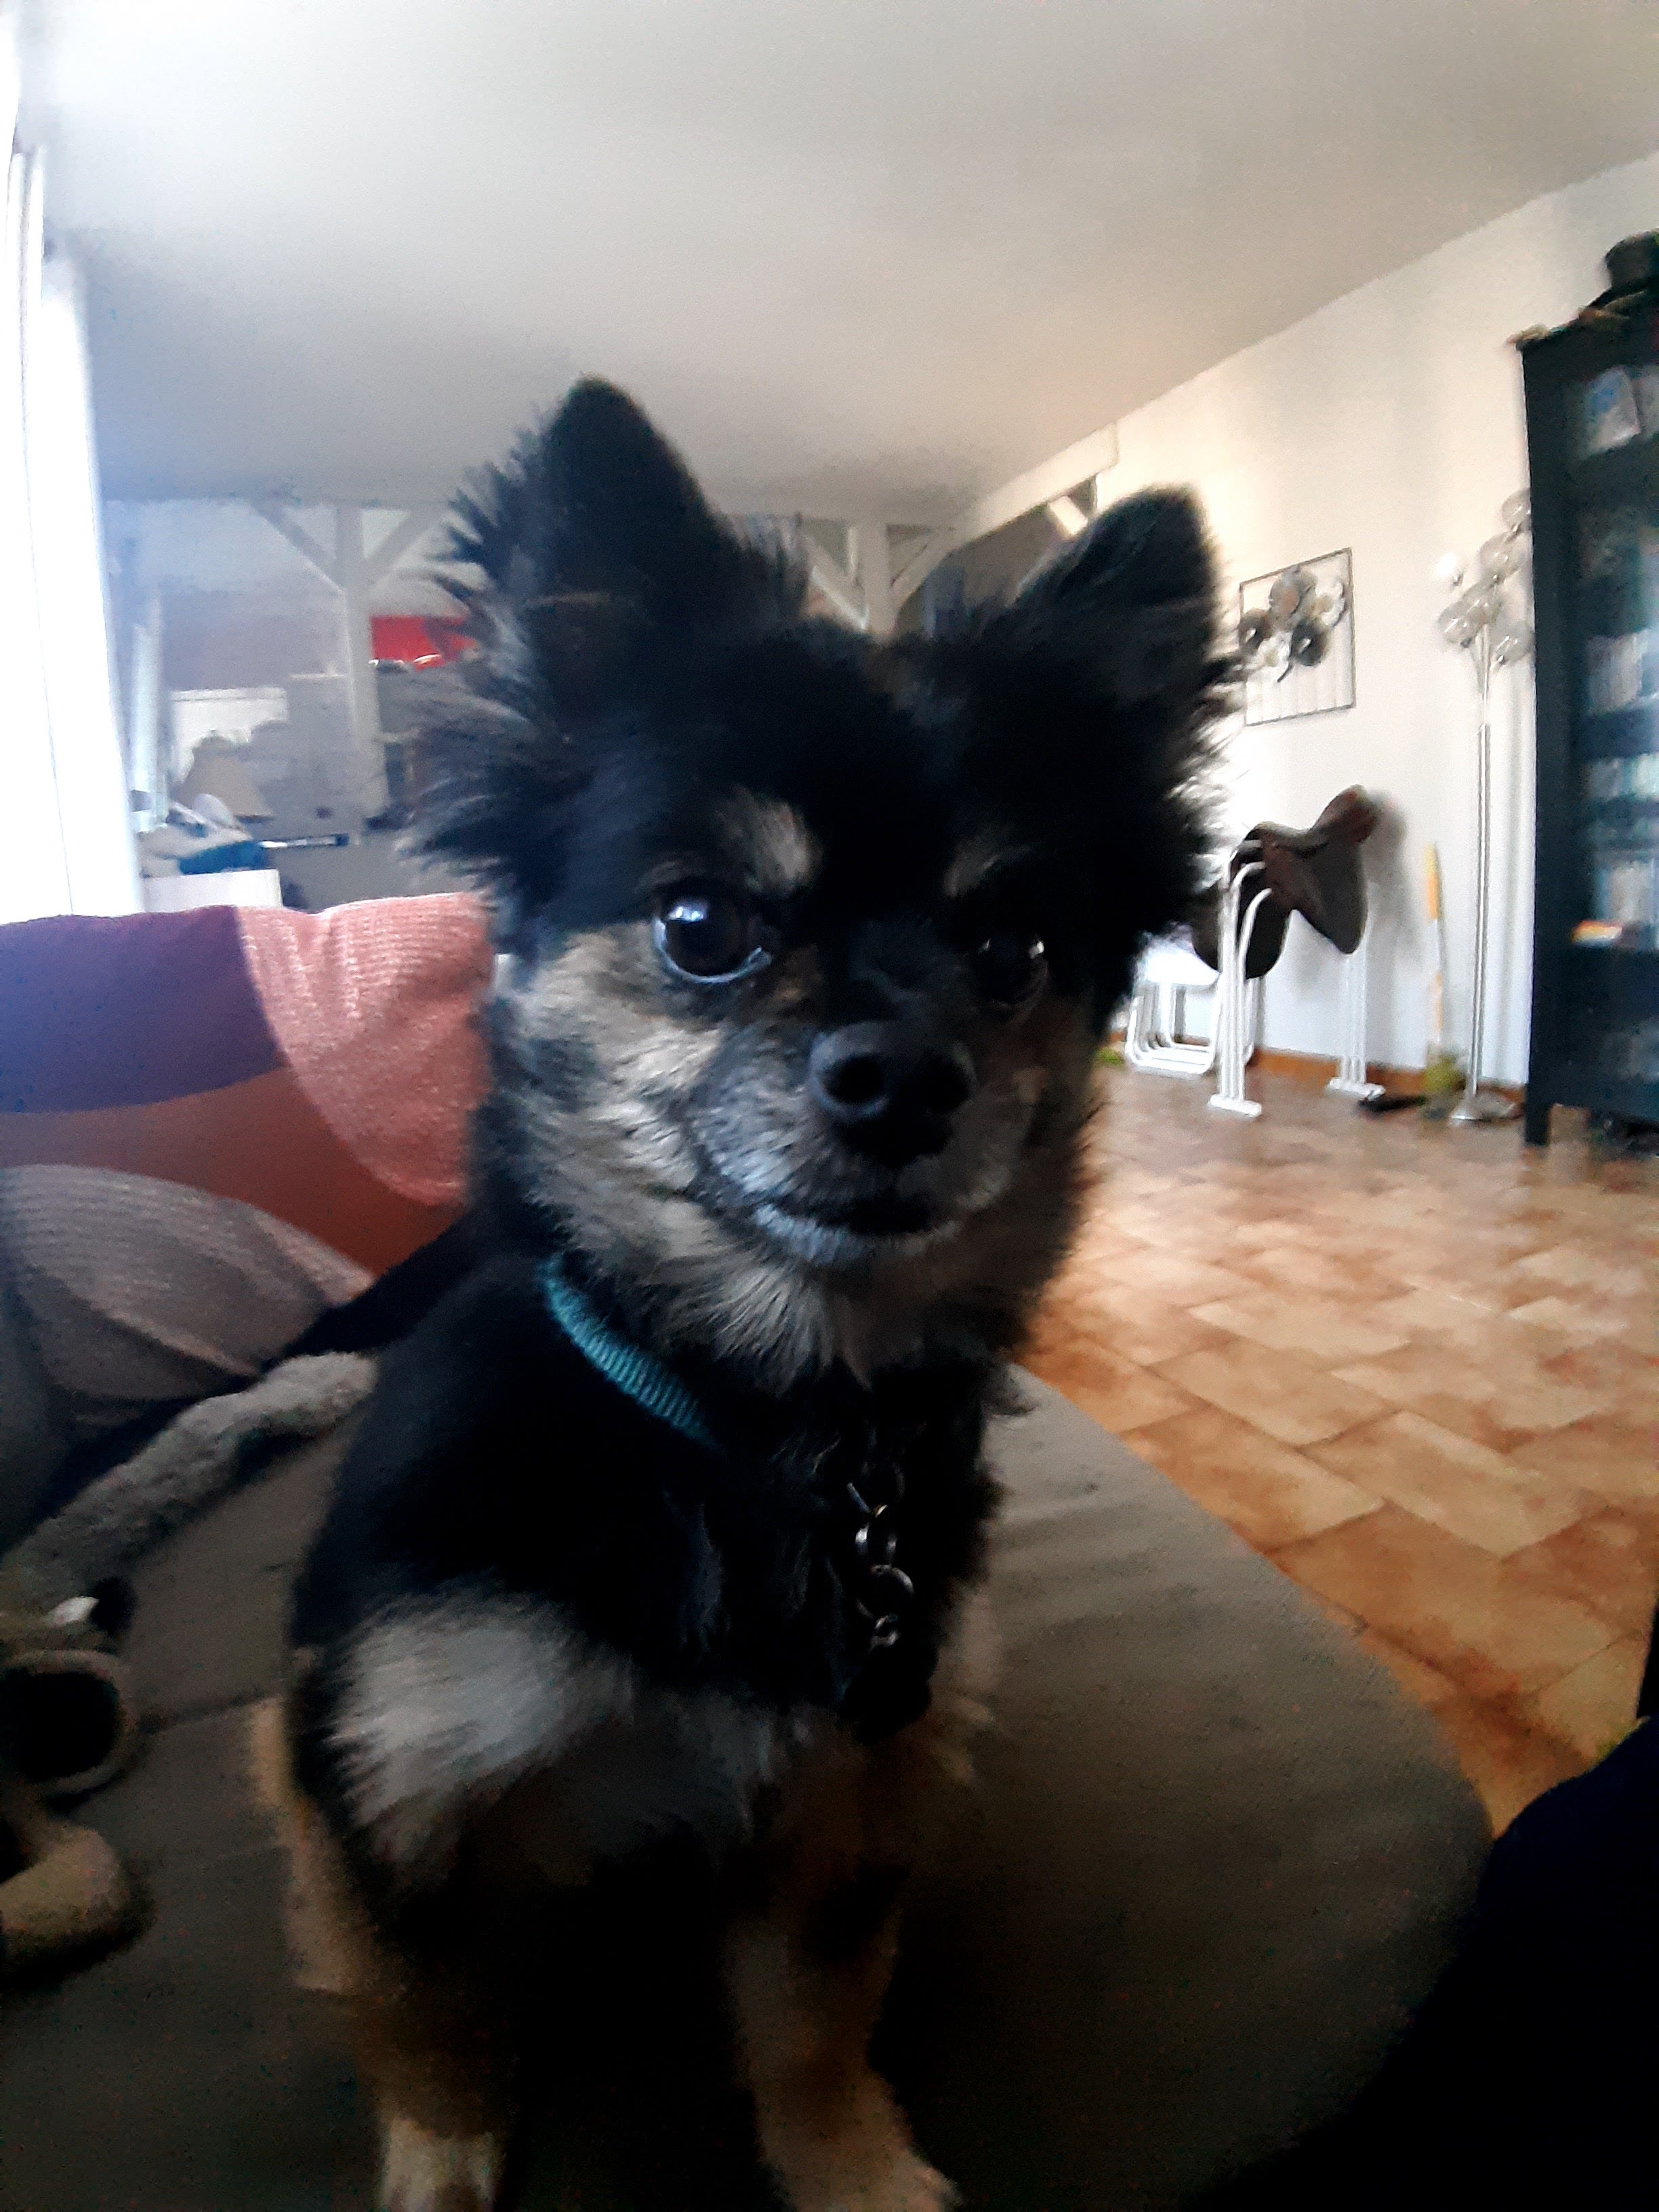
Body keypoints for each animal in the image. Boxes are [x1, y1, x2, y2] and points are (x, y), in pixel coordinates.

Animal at [260, 380, 1226, 2212]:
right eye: (701, 925)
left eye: (1013, 954)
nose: (901, 1076)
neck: (761, 1422)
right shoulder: (378, 1776)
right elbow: (428, 2018)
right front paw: (440, 2171)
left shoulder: (854, 1789)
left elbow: (812, 2017)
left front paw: (852, 2171)